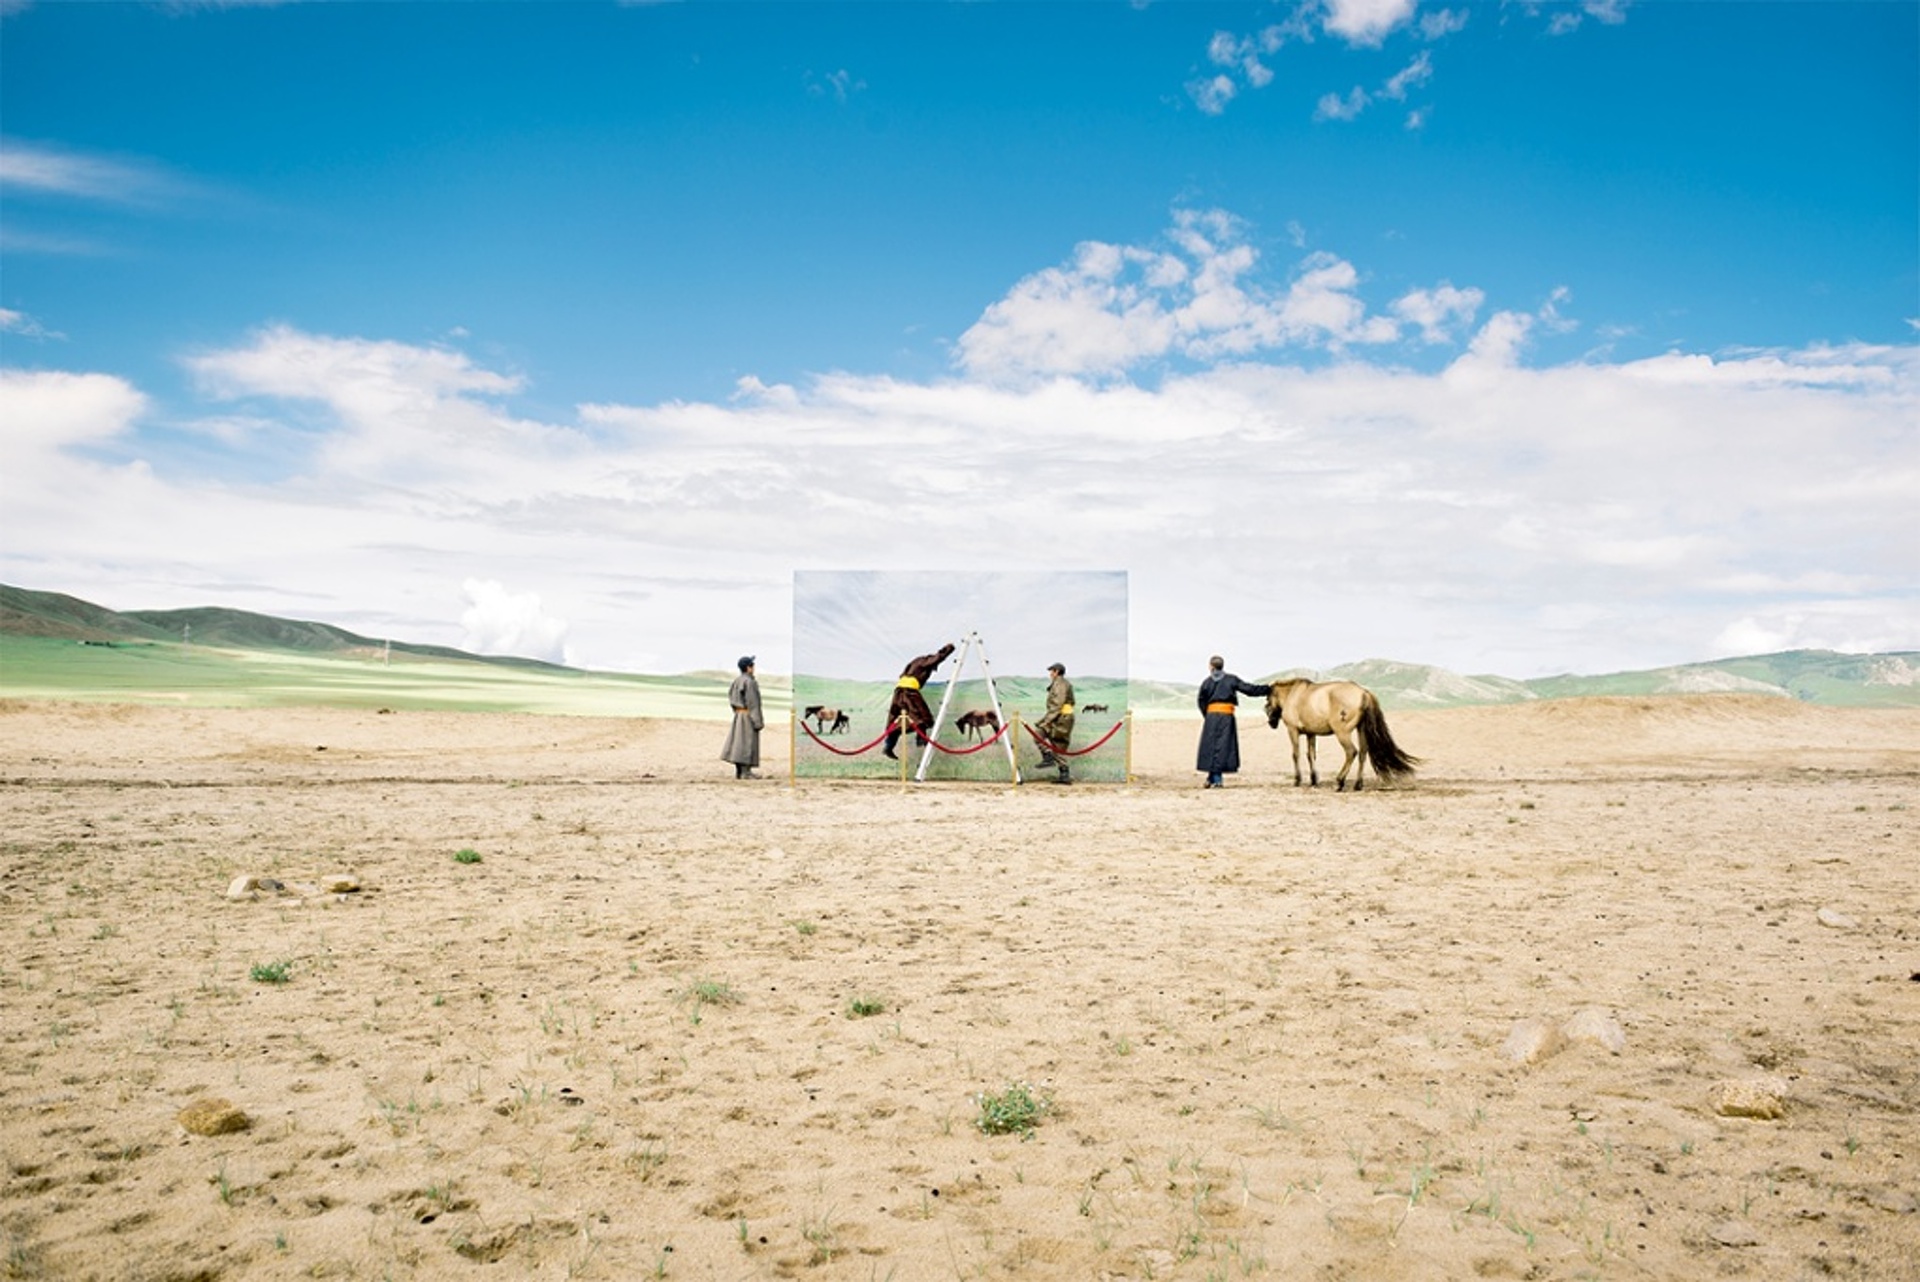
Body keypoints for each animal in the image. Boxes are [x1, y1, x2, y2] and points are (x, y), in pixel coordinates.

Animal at [1267, 679, 1420, 790]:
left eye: (1267, 700)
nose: (1271, 722)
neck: (1293, 695)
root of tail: (1364, 693)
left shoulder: (1293, 730)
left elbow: (1295, 754)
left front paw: (1297, 780)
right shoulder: (1311, 733)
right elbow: (1311, 755)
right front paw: (1314, 780)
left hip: (1342, 733)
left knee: (1351, 752)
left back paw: (1340, 782)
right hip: (1361, 729)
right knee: (1363, 753)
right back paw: (1358, 784)